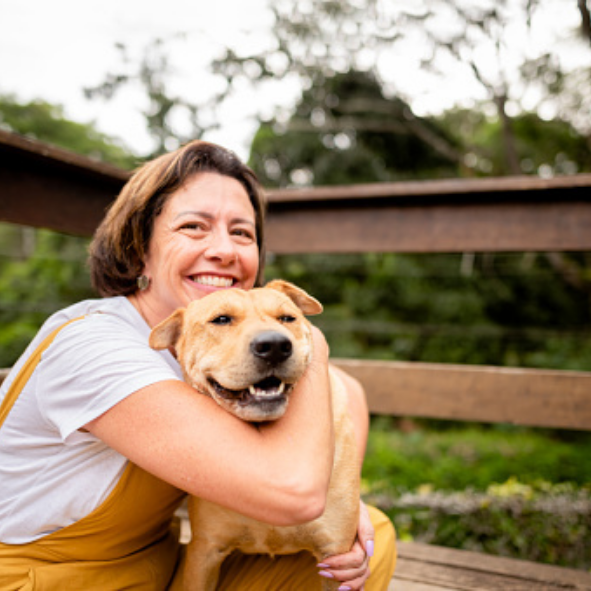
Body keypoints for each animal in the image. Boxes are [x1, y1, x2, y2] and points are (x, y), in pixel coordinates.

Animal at [149, 280, 360, 588]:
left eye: (287, 318)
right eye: (221, 319)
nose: (274, 346)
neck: (267, 444)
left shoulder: (337, 558)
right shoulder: (205, 551)